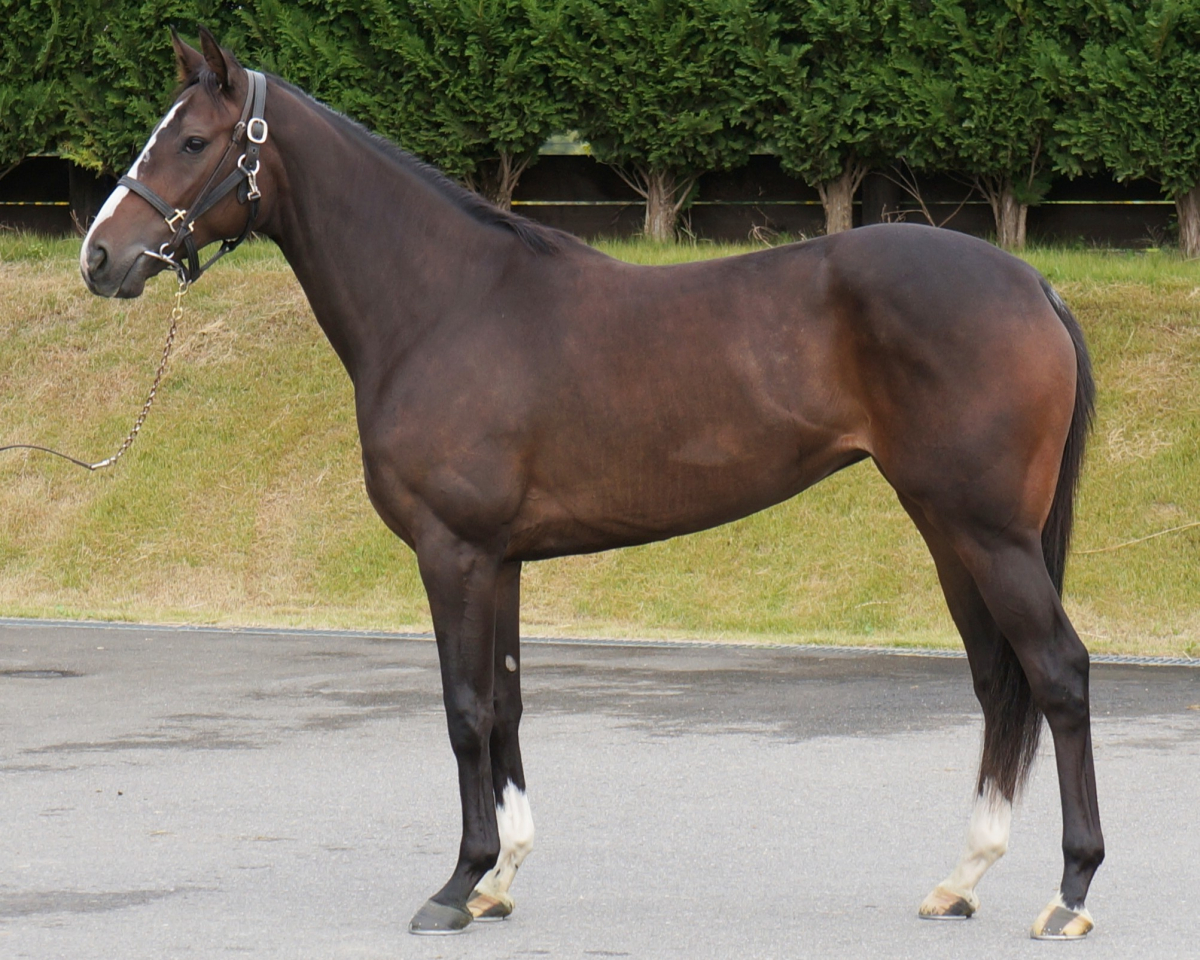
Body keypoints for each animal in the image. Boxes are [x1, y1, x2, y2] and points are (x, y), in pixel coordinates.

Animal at [79, 28, 1103, 940]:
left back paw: (1071, 893)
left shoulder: (453, 553)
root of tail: (1033, 284)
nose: (99, 257)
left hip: (989, 532)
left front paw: (455, 886)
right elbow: (507, 705)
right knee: (995, 680)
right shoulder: (500, 561)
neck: (446, 303)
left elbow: (463, 712)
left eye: (193, 141)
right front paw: (499, 881)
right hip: (946, 526)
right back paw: (962, 879)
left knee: (1057, 672)